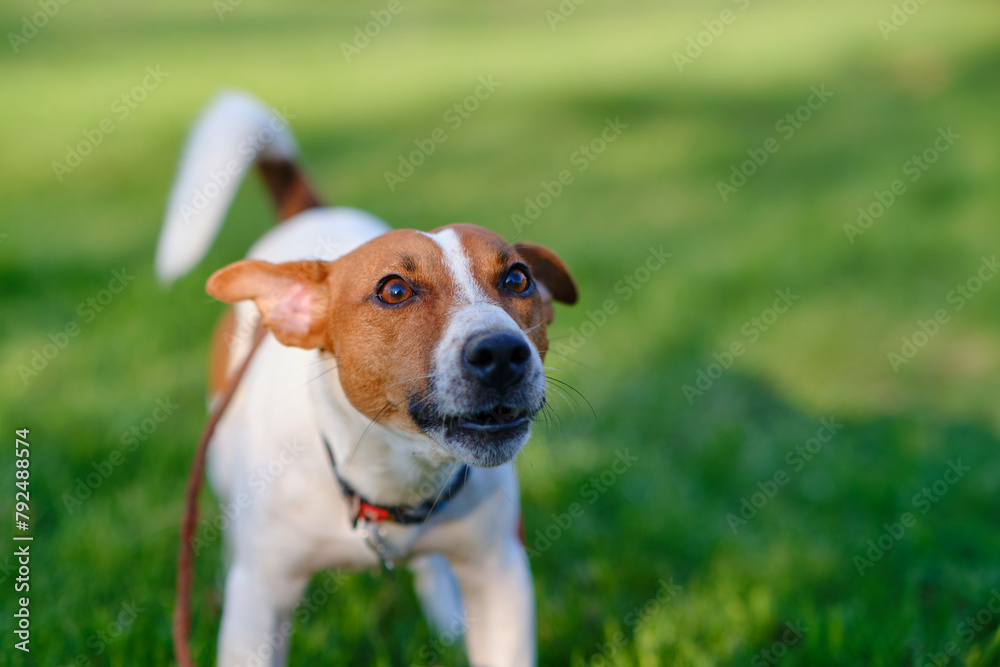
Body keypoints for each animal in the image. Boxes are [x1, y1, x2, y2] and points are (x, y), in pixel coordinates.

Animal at [155, 94, 580, 667]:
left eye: (518, 279)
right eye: (394, 290)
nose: (502, 352)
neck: (391, 479)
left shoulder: (499, 575)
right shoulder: (261, 605)